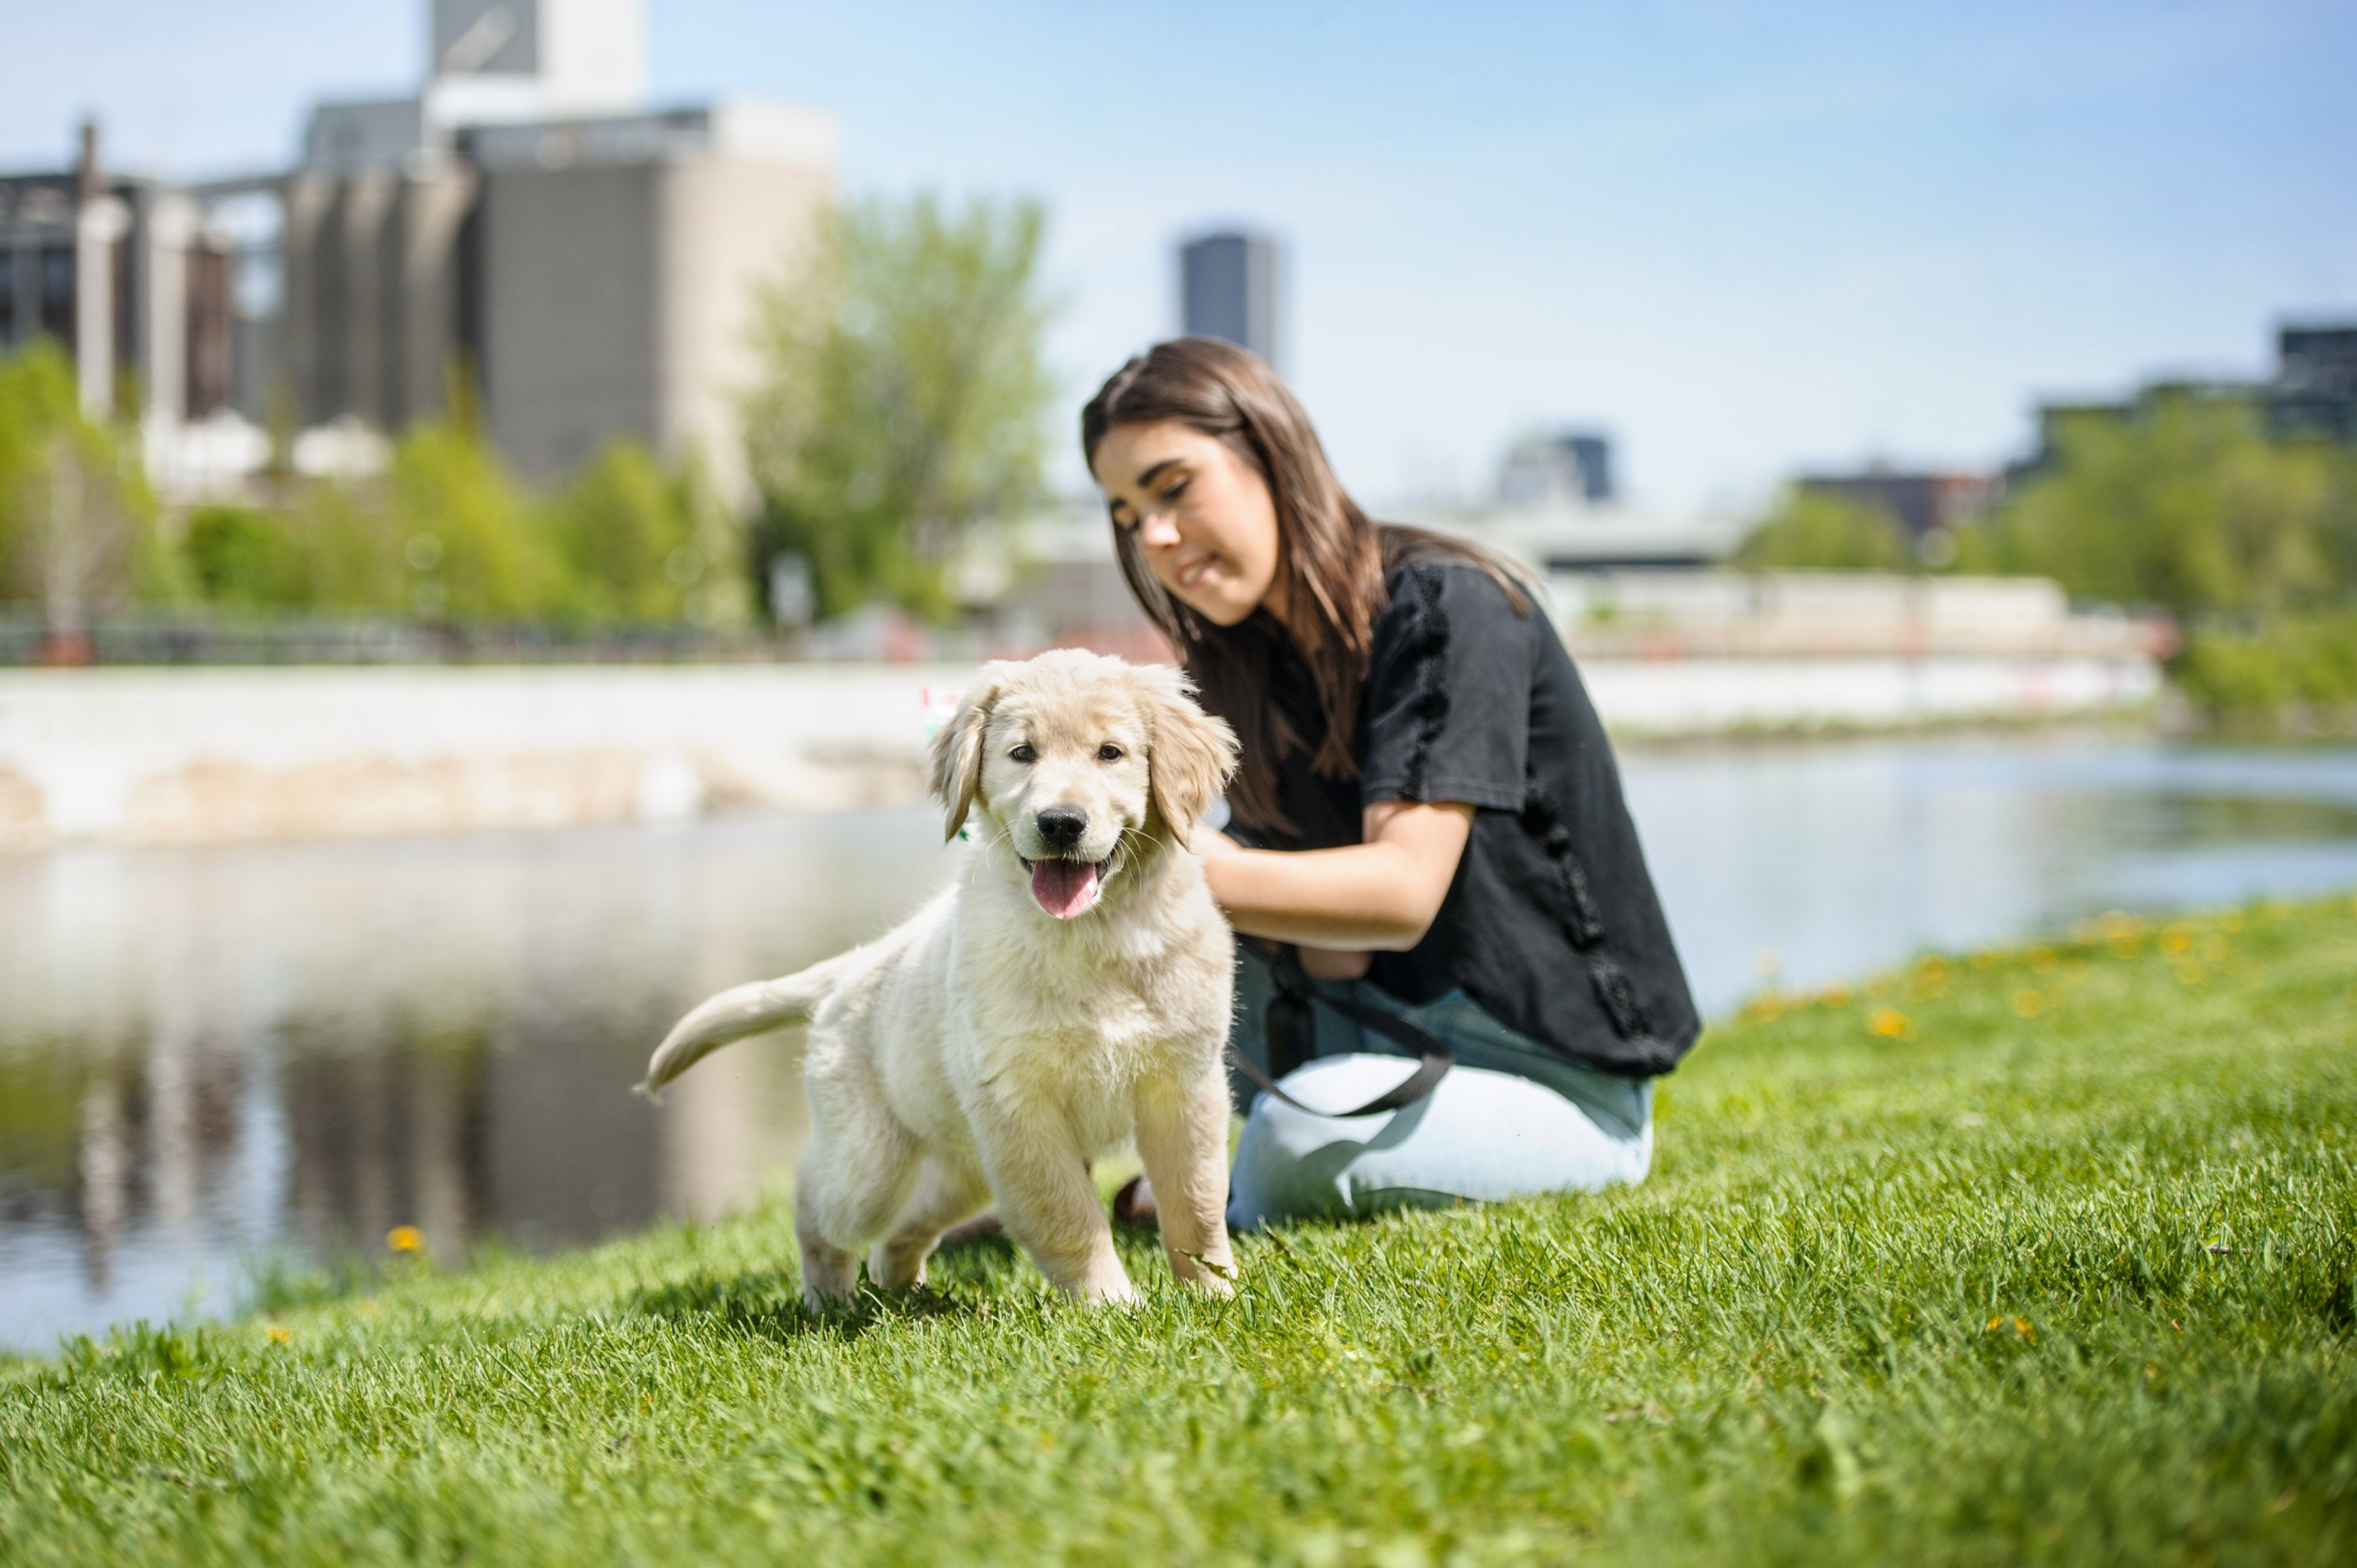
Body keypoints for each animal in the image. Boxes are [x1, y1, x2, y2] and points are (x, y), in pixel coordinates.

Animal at [636, 645, 1244, 1311]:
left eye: (1110, 753)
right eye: (1022, 753)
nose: (1060, 823)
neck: (1094, 932)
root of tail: (856, 963)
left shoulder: (1184, 1088)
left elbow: (1196, 1204)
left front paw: (1215, 1294)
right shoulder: (1019, 1108)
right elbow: (1069, 1217)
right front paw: (1109, 1306)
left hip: (966, 1164)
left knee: (905, 1230)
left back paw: (905, 1295)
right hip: (875, 1163)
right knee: (815, 1204)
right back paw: (830, 1301)